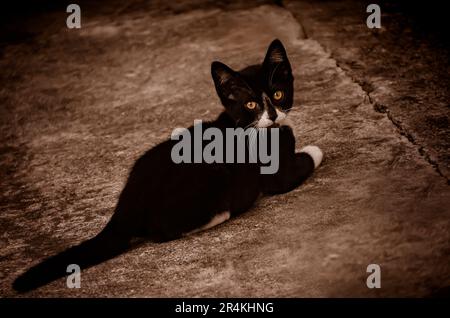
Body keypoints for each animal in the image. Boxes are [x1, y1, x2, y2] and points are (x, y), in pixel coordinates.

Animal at [13, 38, 324, 292]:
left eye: (278, 94)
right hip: (212, 178)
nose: (273, 116)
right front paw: (314, 149)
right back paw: (218, 215)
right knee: (161, 231)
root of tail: (126, 203)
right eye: (250, 105)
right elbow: (300, 165)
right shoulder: (276, 173)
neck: (251, 128)